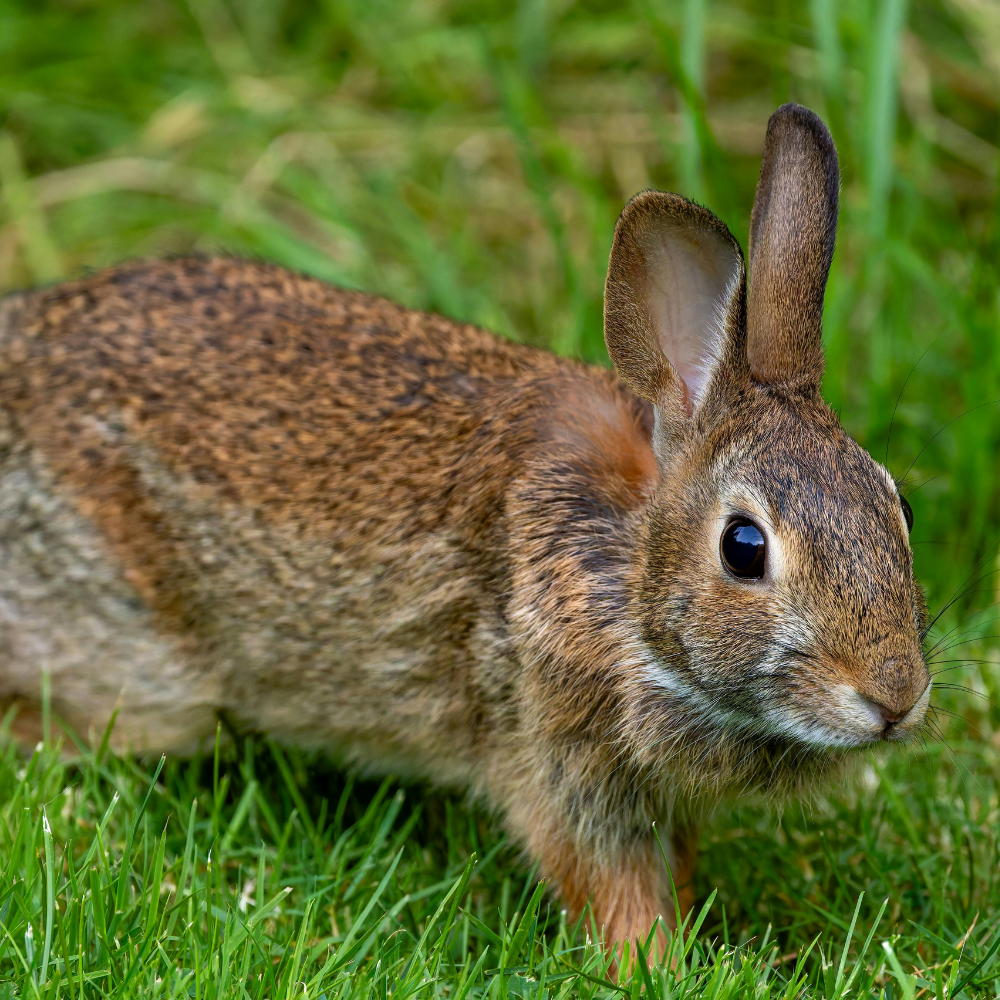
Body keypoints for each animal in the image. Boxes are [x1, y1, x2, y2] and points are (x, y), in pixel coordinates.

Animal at [0, 103, 929, 956]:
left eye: (899, 509)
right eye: (744, 548)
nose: (895, 700)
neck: (624, 573)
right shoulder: (557, 759)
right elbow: (611, 884)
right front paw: (655, 962)